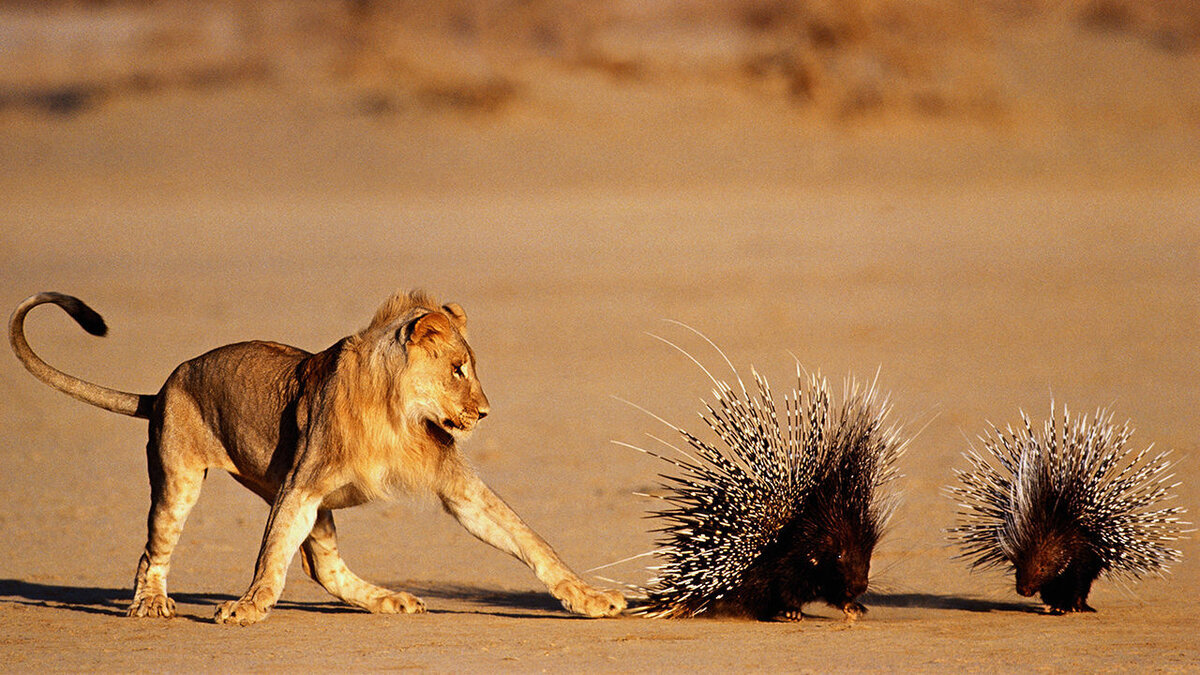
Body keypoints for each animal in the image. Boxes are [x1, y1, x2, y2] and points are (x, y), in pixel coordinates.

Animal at [7, 291, 628, 624]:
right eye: (458, 369)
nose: (485, 412)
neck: (397, 415)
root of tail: (163, 387)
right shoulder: (301, 485)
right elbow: (269, 558)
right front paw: (247, 607)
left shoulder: (454, 485)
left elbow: (528, 540)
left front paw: (590, 598)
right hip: (181, 477)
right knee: (153, 550)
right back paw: (152, 603)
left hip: (316, 507)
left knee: (323, 565)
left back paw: (388, 599)